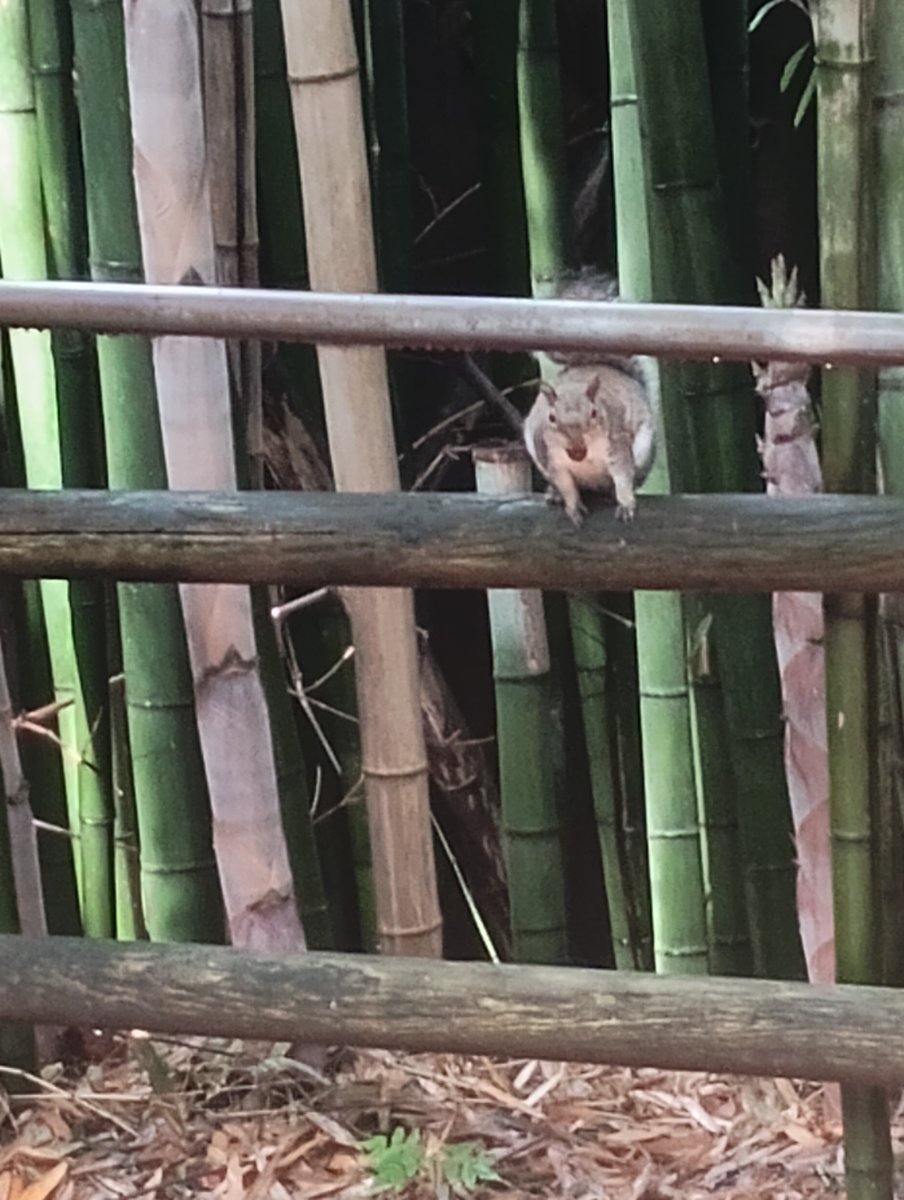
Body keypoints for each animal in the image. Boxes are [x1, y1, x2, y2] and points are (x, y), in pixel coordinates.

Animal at [522, 271, 657, 525]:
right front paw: (573, 507)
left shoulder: (617, 443)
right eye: (551, 418)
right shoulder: (552, 459)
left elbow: (622, 475)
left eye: (595, 413)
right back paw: (555, 494)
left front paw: (625, 503)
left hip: (643, 450)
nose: (577, 450)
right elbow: (566, 485)